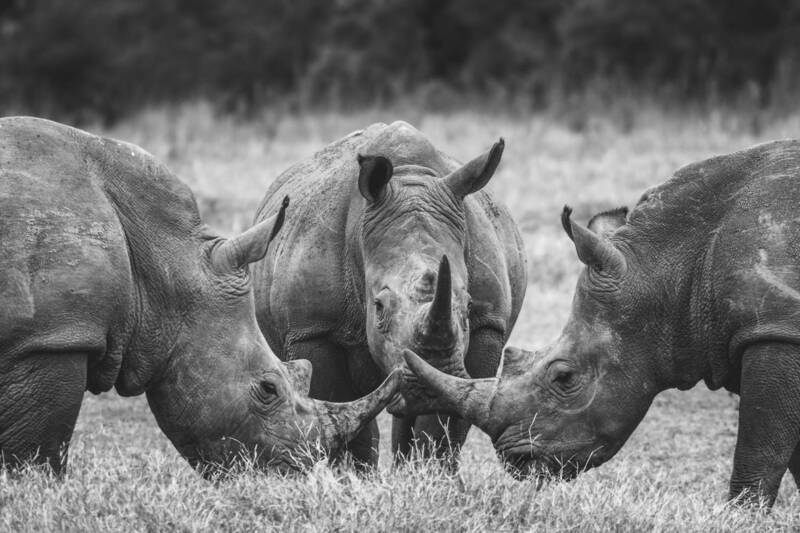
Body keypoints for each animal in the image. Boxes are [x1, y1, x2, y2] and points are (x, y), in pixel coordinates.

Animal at [252, 121, 527, 468]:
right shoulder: (312, 328)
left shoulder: (486, 324)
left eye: (467, 306)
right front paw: (355, 476)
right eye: (379, 307)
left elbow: (446, 420)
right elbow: (343, 410)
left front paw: (428, 473)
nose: (426, 392)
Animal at [404, 140, 800, 505]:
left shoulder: (775, 329)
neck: (673, 268)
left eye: (564, 377)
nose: (514, 458)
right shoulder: (769, 328)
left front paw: (742, 515)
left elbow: (760, 448)